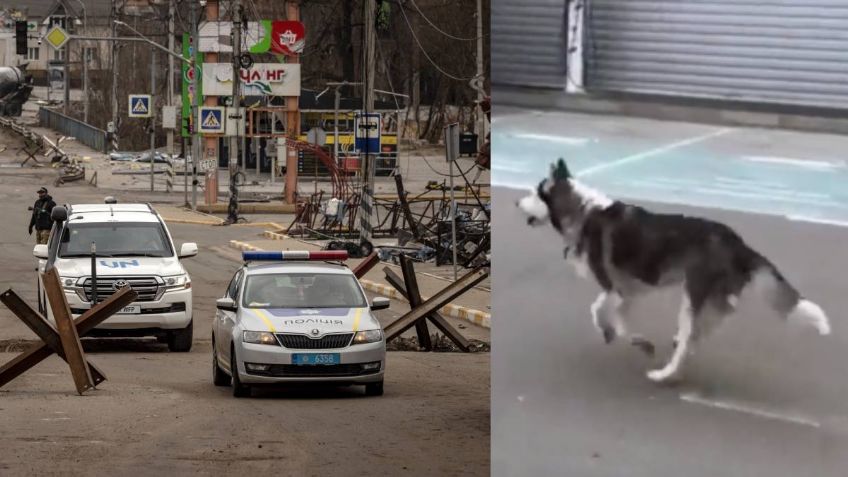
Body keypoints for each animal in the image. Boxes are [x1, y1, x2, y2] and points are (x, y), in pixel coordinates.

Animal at [512, 159, 832, 384]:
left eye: (534, 192)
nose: (515, 201)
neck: (583, 211)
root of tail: (738, 243)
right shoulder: (626, 291)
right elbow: (607, 314)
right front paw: (617, 334)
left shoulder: (615, 288)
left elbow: (603, 313)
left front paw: (628, 338)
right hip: (711, 300)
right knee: (699, 335)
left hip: (691, 298)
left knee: (690, 340)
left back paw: (665, 373)